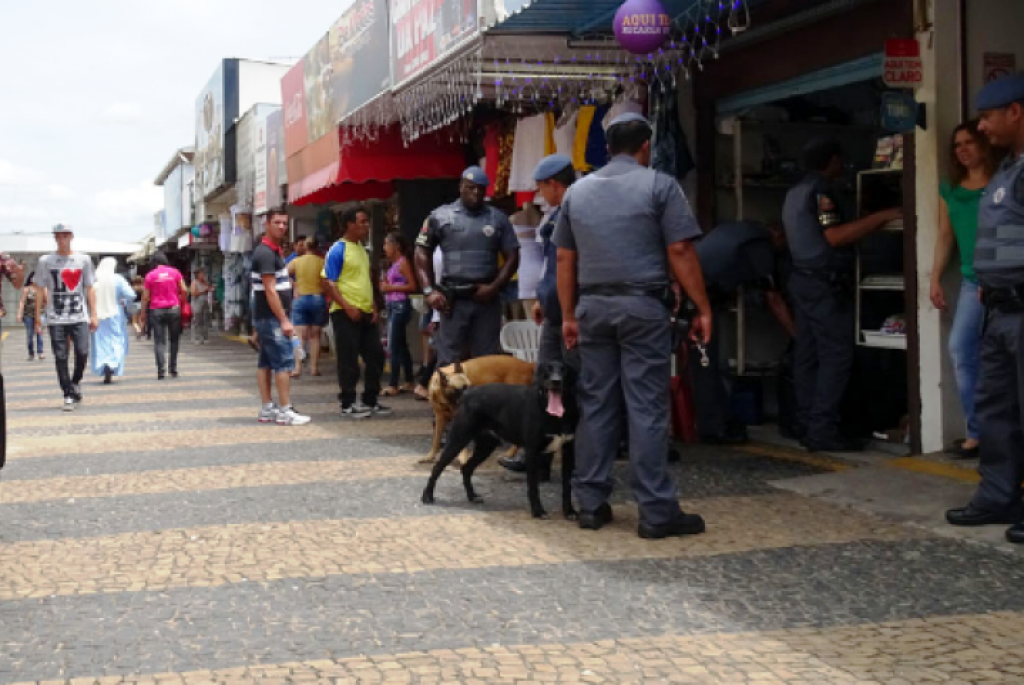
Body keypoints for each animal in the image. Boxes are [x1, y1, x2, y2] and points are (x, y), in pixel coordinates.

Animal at [417, 358, 577, 518]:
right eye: (547, 370)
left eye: (564, 370)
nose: (556, 381)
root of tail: (468, 394)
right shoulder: (532, 452)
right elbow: (533, 486)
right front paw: (537, 511)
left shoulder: (569, 452)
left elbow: (567, 486)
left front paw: (569, 511)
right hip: (458, 440)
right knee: (438, 467)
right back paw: (427, 495)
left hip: (486, 445)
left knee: (467, 468)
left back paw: (472, 496)